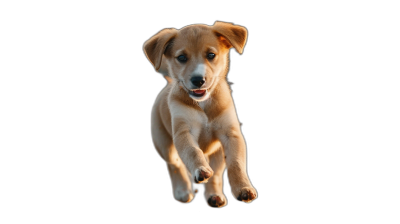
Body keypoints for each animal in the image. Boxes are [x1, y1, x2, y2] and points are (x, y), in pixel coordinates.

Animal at [143, 21, 256, 208]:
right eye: (182, 57)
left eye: (211, 55)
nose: (198, 80)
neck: (204, 105)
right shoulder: (184, 132)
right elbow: (192, 152)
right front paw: (200, 169)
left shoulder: (231, 134)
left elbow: (236, 163)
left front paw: (243, 188)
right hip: (165, 145)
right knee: (174, 166)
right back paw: (182, 191)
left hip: (217, 153)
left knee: (216, 175)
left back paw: (214, 196)